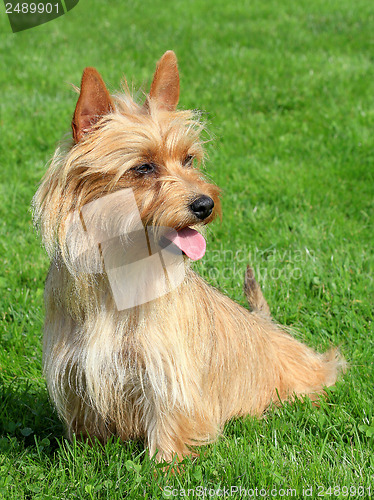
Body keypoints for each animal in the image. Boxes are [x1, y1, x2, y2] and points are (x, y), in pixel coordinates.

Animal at [33, 50, 344, 460]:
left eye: (189, 159)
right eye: (143, 167)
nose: (205, 204)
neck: (119, 270)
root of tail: (268, 326)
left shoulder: (167, 371)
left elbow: (168, 424)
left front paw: (164, 466)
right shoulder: (76, 372)